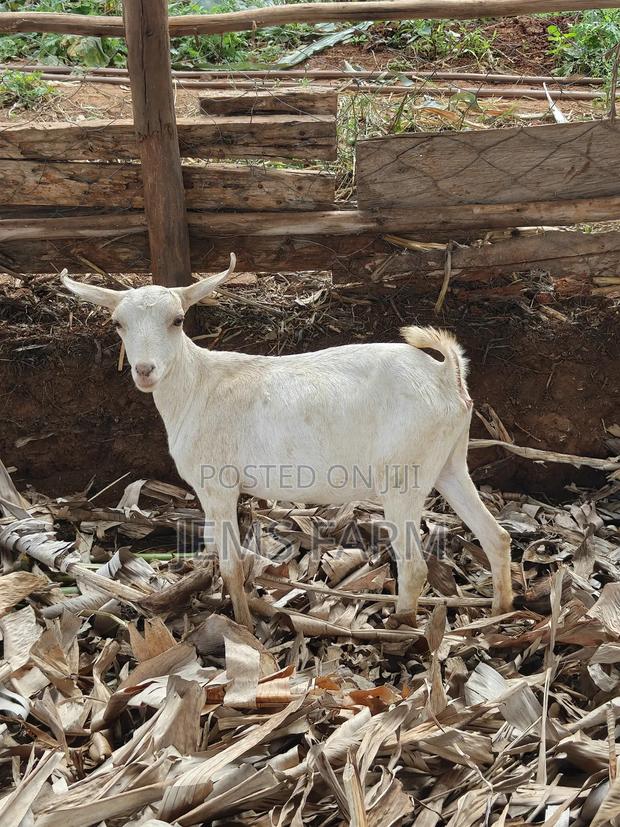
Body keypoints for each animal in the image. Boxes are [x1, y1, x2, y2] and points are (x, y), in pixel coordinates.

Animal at [62, 257, 513, 629]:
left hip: (404, 474)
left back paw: (401, 628)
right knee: (496, 536)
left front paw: (243, 626)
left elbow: (230, 565)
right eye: (118, 323)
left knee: (415, 566)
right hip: (449, 462)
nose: (145, 370)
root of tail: (446, 376)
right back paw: (500, 611)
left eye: (177, 319)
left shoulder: (216, 485)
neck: (199, 386)